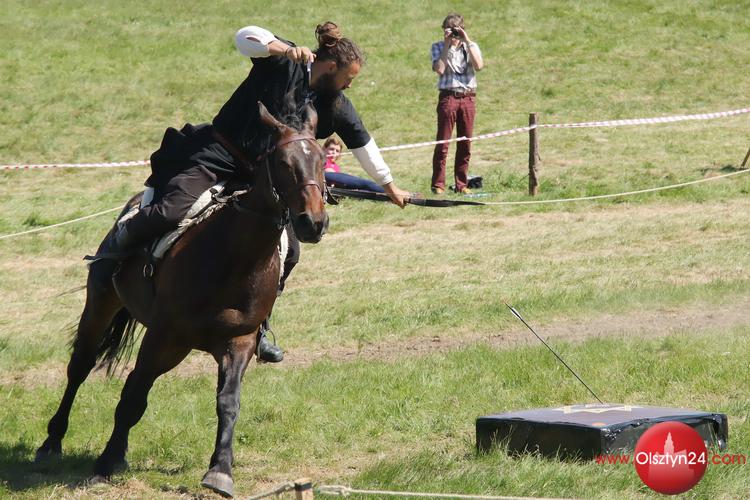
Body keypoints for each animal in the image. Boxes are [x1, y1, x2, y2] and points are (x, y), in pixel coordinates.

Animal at [34, 101, 328, 497]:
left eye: (322, 161)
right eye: (283, 162)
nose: (313, 222)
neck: (234, 256)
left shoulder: (239, 341)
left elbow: (228, 403)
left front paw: (220, 471)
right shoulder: (163, 334)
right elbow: (133, 399)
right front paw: (104, 464)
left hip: (177, 348)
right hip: (104, 306)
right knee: (81, 367)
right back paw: (52, 443)